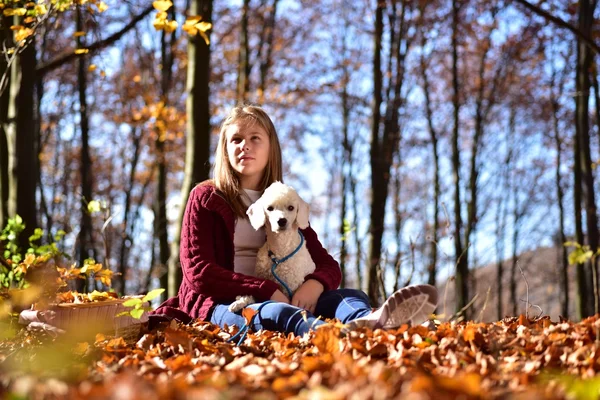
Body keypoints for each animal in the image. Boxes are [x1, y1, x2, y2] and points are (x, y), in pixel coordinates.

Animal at [227, 181, 316, 312]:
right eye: (270, 208)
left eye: (291, 208)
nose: (282, 221)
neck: (280, 252)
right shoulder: (263, 278)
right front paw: (240, 301)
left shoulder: (290, 286)